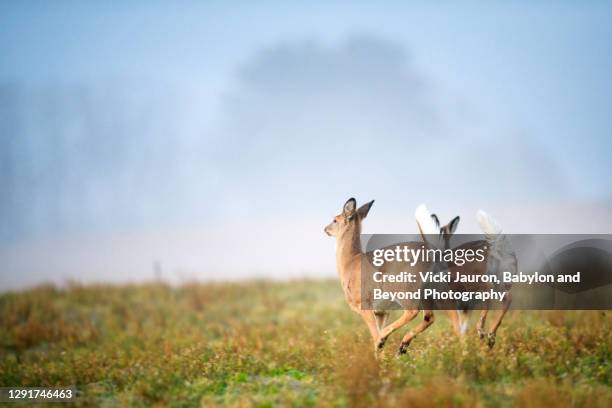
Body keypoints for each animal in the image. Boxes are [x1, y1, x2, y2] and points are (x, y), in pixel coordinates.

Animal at [322, 198, 438, 354]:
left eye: (335, 219)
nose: (325, 229)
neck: (351, 262)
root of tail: (429, 253)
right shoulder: (381, 312)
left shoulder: (365, 305)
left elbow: (374, 333)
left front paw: (379, 344)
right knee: (429, 317)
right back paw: (402, 346)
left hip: (401, 289)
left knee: (412, 312)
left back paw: (385, 340)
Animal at [416, 207, 516, 348]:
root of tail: (494, 248)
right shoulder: (464, 306)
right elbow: (463, 326)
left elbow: (459, 327)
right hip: (500, 281)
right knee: (507, 298)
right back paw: (490, 337)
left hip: (478, 281)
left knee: (490, 291)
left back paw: (481, 330)